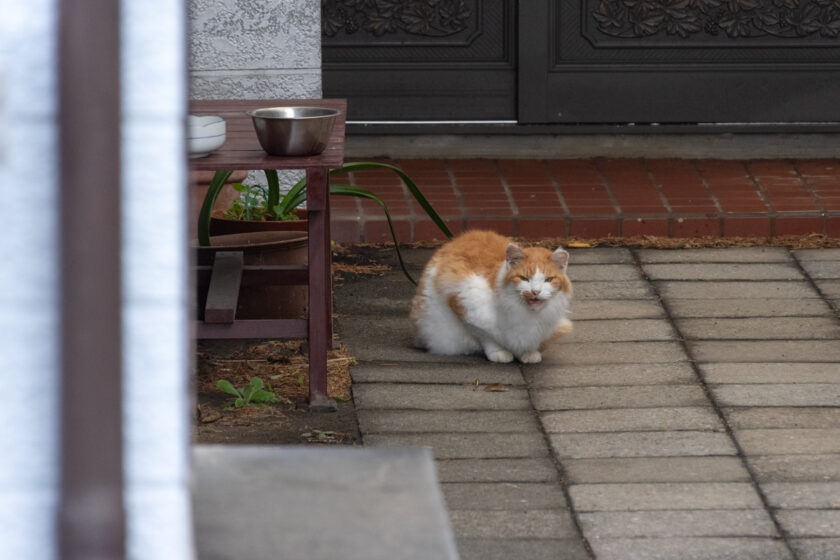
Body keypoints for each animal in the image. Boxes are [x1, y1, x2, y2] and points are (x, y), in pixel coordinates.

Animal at [412, 231, 576, 366]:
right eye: (524, 278)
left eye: (548, 279)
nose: (535, 291)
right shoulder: (462, 299)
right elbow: (486, 336)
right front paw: (499, 352)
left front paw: (529, 352)